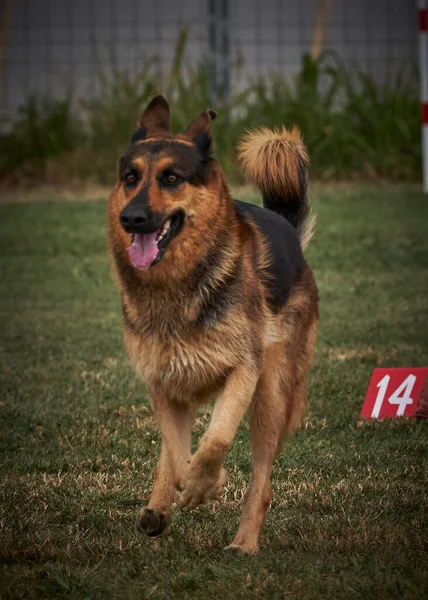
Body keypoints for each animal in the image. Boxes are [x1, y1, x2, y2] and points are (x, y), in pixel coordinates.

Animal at [108, 95, 320, 552]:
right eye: (131, 178)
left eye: (171, 178)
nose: (131, 218)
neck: (178, 287)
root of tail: (289, 234)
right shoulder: (162, 382)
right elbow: (175, 451)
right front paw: (186, 485)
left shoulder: (244, 371)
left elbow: (217, 438)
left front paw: (207, 482)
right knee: (173, 451)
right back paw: (158, 507)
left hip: (272, 394)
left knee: (261, 480)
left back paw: (244, 542)